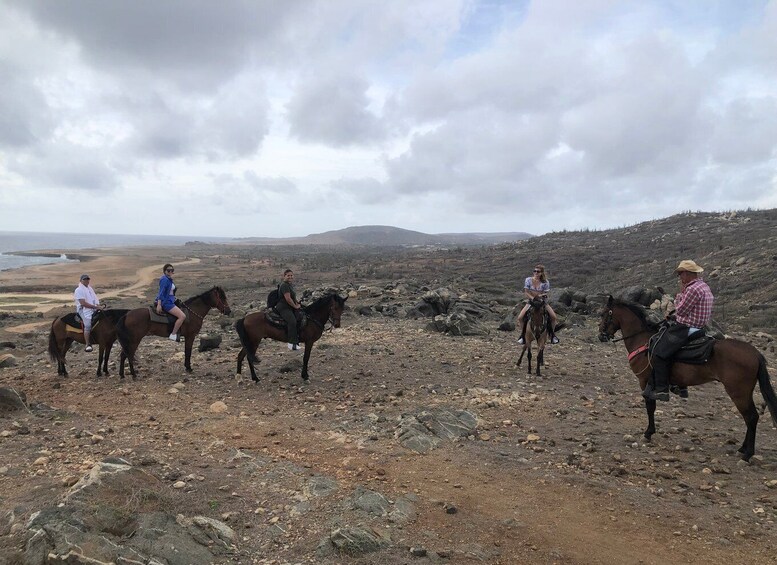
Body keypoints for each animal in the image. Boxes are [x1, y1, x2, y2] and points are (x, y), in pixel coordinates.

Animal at [596, 296, 772, 458]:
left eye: (604, 314)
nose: (601, 336)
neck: (643, 340)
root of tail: (755, 353)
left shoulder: (645, 382)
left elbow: (650, 407)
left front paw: (648, 433)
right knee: (750, 417)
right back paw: (742, 449)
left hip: (738, 392)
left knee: (751, 417)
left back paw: (747, 453)